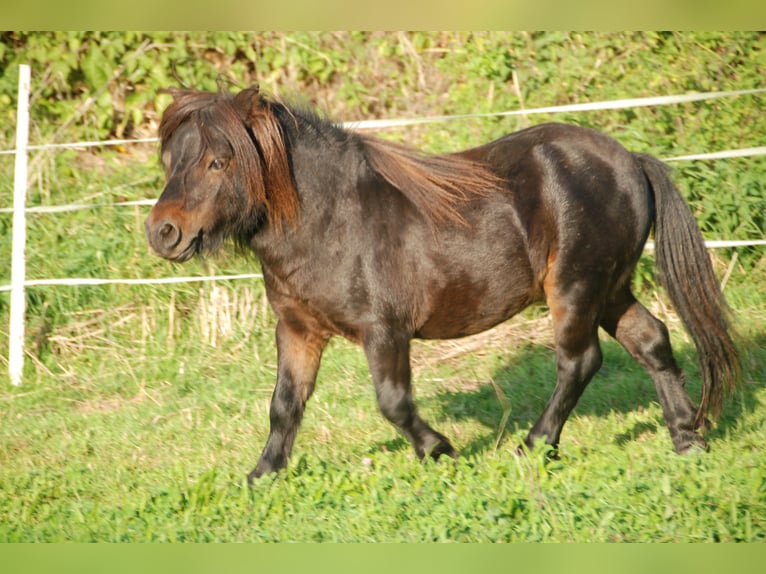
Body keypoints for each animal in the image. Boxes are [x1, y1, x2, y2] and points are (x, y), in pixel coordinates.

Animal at [145, 85, 740, 482]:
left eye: (219, 161)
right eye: (172, 160)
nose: (162, 232)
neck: (332, 219)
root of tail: (630, 161)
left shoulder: (383, 330)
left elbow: (393, 403)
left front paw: (440, 450)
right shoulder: (297, 330)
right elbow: (285, 404)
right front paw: (263, 474)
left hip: (575, 289)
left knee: (579, 362)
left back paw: (534, 446)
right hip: (609, 288)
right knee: (652, 340)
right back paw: (686, 437)